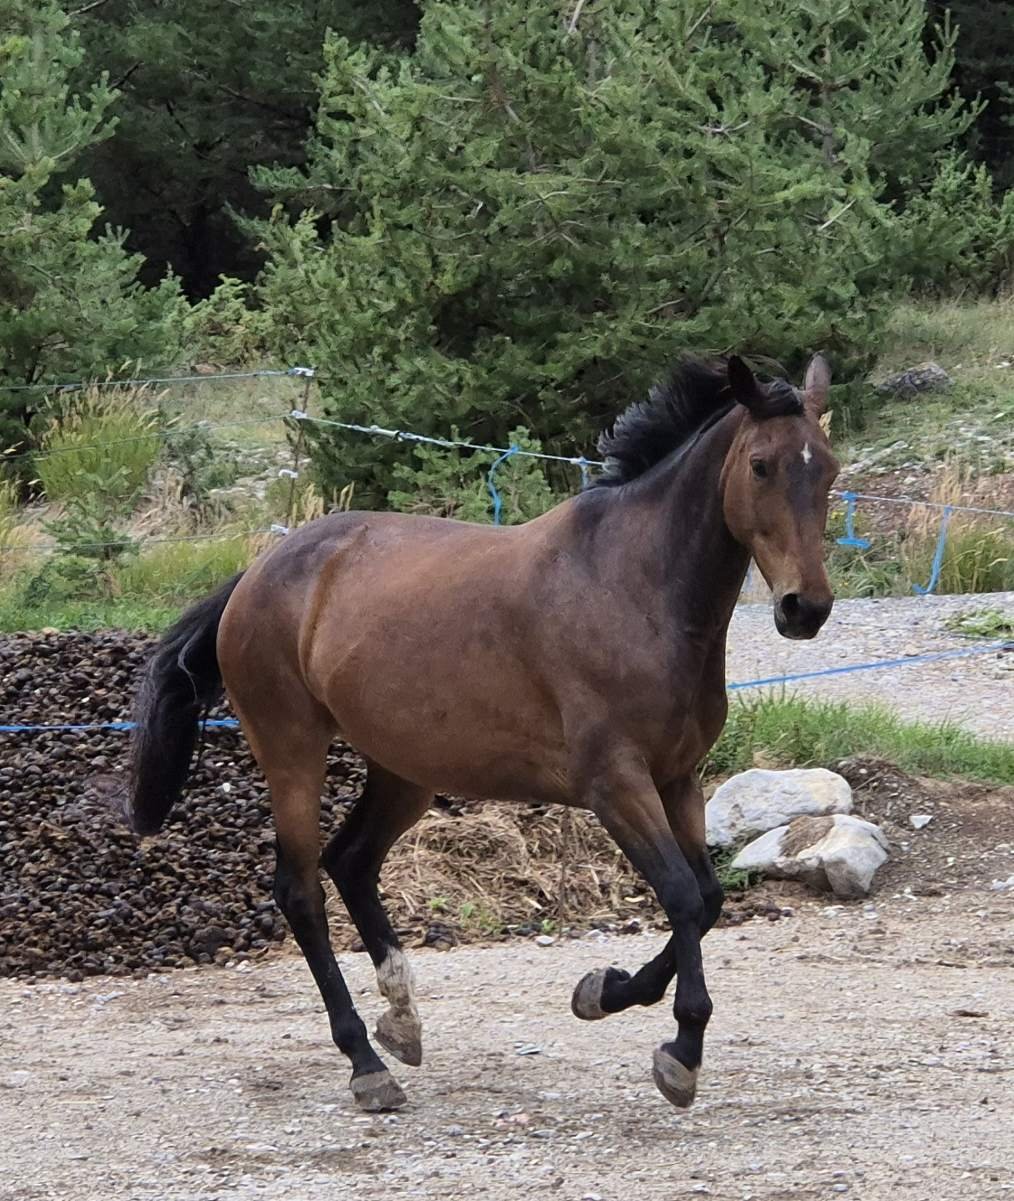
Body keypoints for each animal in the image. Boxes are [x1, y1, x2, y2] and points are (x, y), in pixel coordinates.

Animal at [127, 353, 838, 1113]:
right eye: (761, 466)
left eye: (827, 467)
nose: (805, 608)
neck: (631, 587)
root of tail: (257, 574)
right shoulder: (616, 784)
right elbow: (679, 894)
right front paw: (680, 1052)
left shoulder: (678, 778)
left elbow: (706, 900)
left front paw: (603, 992)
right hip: (293, 753)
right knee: (301, 889)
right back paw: (365, 1062)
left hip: (404, 770)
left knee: (351, 862)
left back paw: (401, 1023)